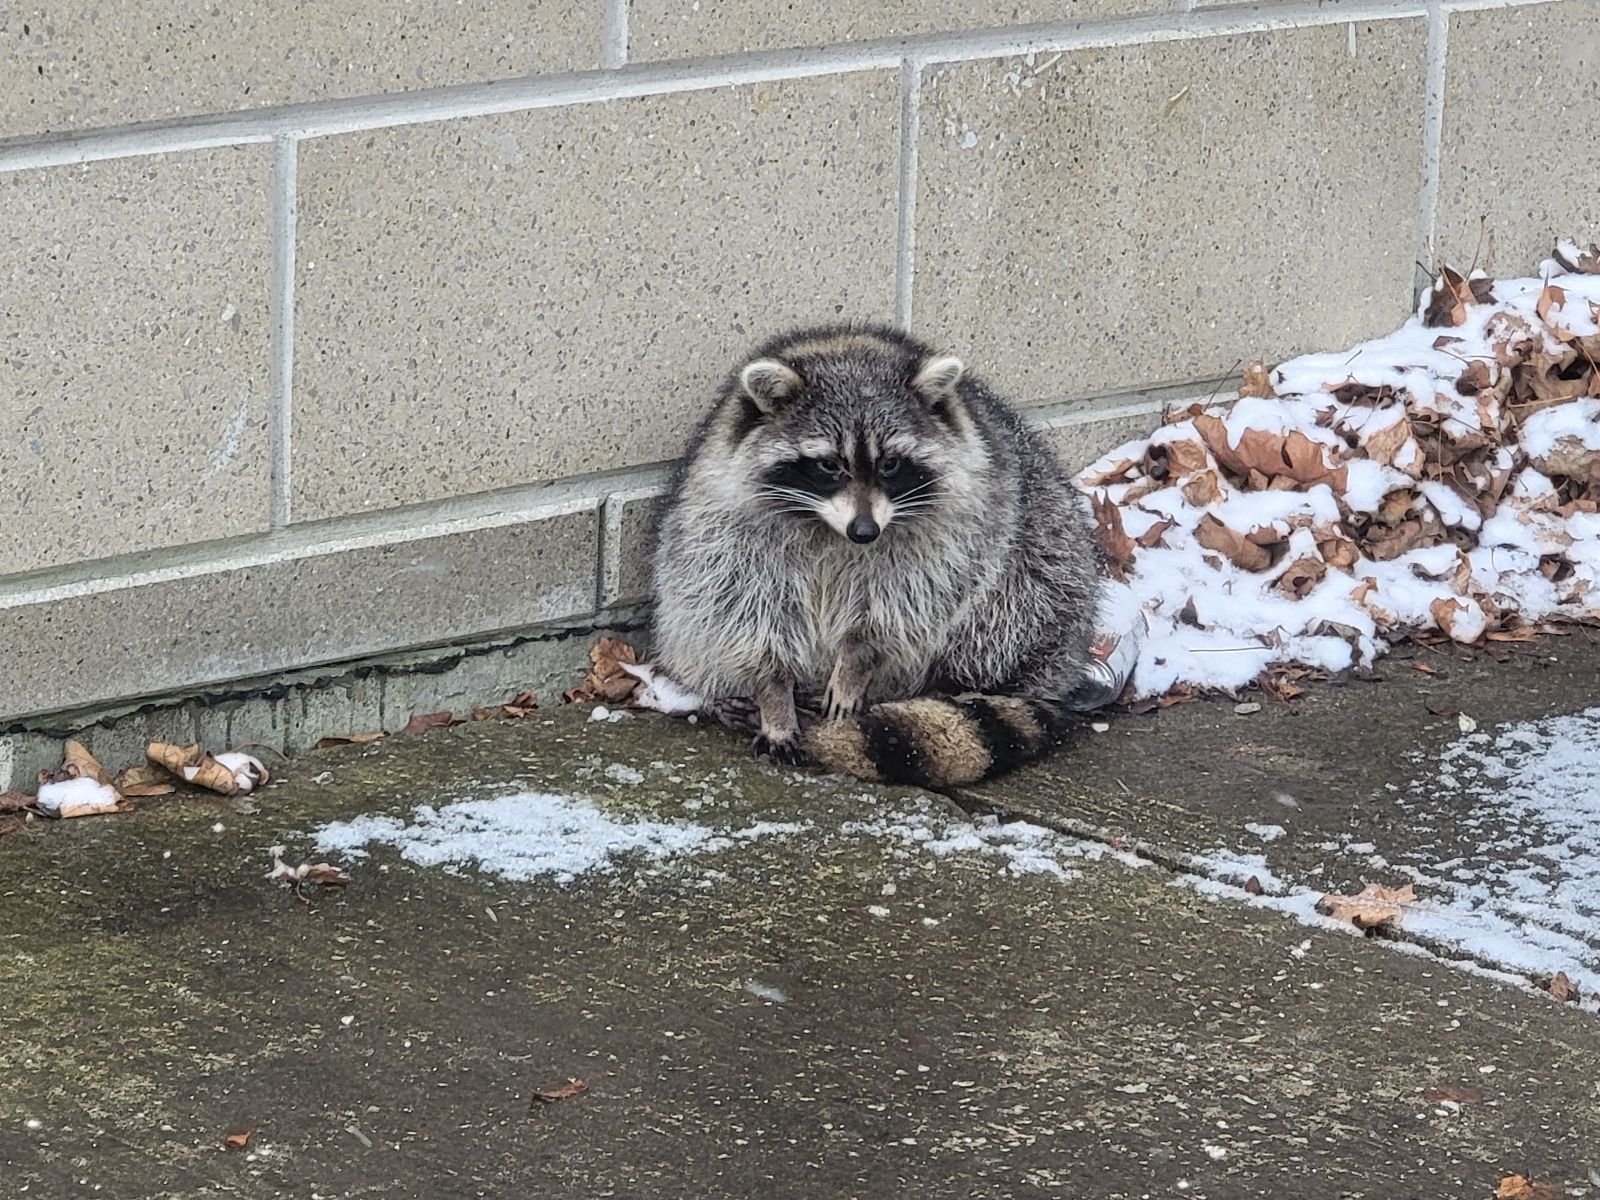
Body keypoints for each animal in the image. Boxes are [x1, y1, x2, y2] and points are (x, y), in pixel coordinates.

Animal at [643, 324, 1107, 793]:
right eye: (830, 465)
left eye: (891, 464)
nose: (864, 532)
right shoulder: (726, 530)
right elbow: (748, 617)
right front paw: (774, 697)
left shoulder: (953, 533)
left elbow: (900, 608)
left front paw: (856, 661)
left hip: (1047, 565)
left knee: (1007, 612)